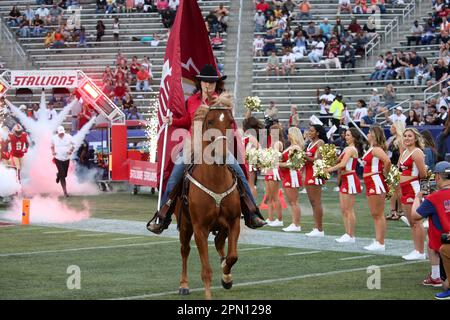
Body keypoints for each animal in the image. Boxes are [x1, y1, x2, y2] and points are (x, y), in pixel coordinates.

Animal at [175, 98, 241, 300]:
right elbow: (206, 271)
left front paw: (226, 276)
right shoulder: (200, 229)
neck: (215, 180)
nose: (221, 154)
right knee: (185, 250)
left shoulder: (234, 221)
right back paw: (183, 285)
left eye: (230, 122)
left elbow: (232, 256)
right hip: (185, 225)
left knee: (220, 242)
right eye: (210, 121)